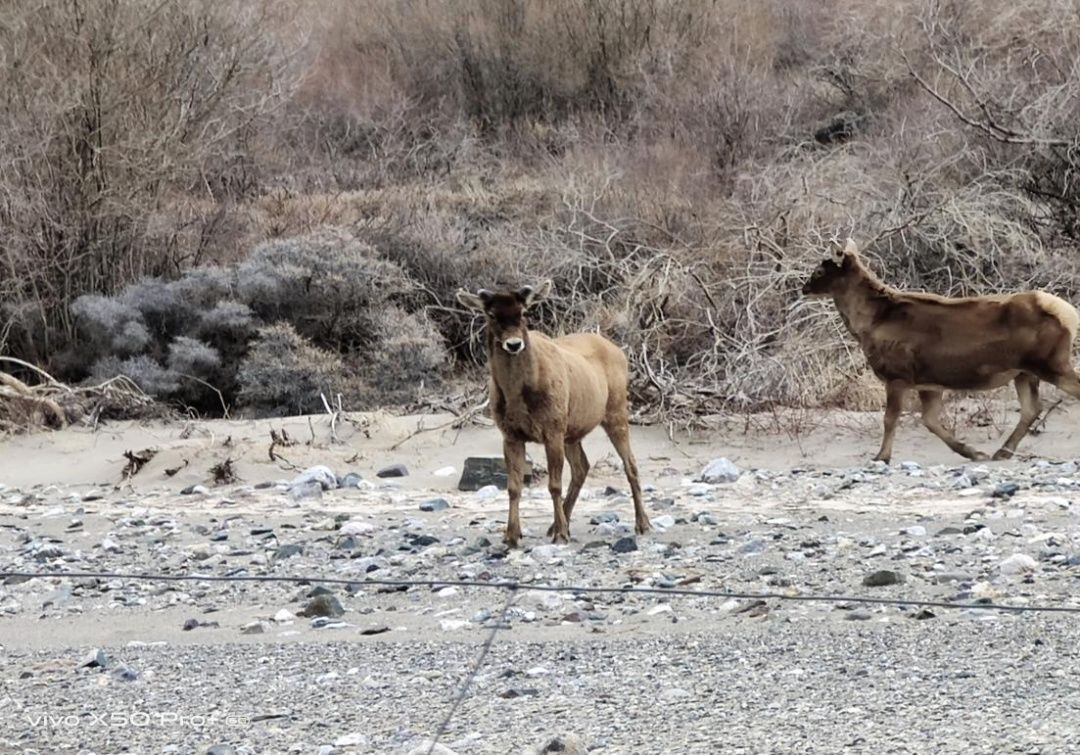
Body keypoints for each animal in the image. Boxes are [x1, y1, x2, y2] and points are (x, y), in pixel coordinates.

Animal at [455, 280, 648, 546]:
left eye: (524, 312)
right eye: (491, 314)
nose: (514, 344)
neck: (518, 396)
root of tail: (620, 352)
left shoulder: (552, 426)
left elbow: (554, 484)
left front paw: (561, 534)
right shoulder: (510, 433)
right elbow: (513, 486)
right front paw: (511, 535)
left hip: (615, 409)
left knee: (630, 464)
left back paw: (642, 524)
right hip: (572, 428)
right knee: (582, 467)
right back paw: (555, 524)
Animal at [803, 238, 1080, 464]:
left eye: (819, 270)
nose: (804, 288)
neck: (867, 326)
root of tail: (1070, 314)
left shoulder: (897, 375)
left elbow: (890, 419)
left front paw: (881, 457)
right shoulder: (928, 382)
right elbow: (930, 420)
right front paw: (973, 452)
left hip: (1051, 362)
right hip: (1023, 371)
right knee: (1032, 408)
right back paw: (1002, 451)